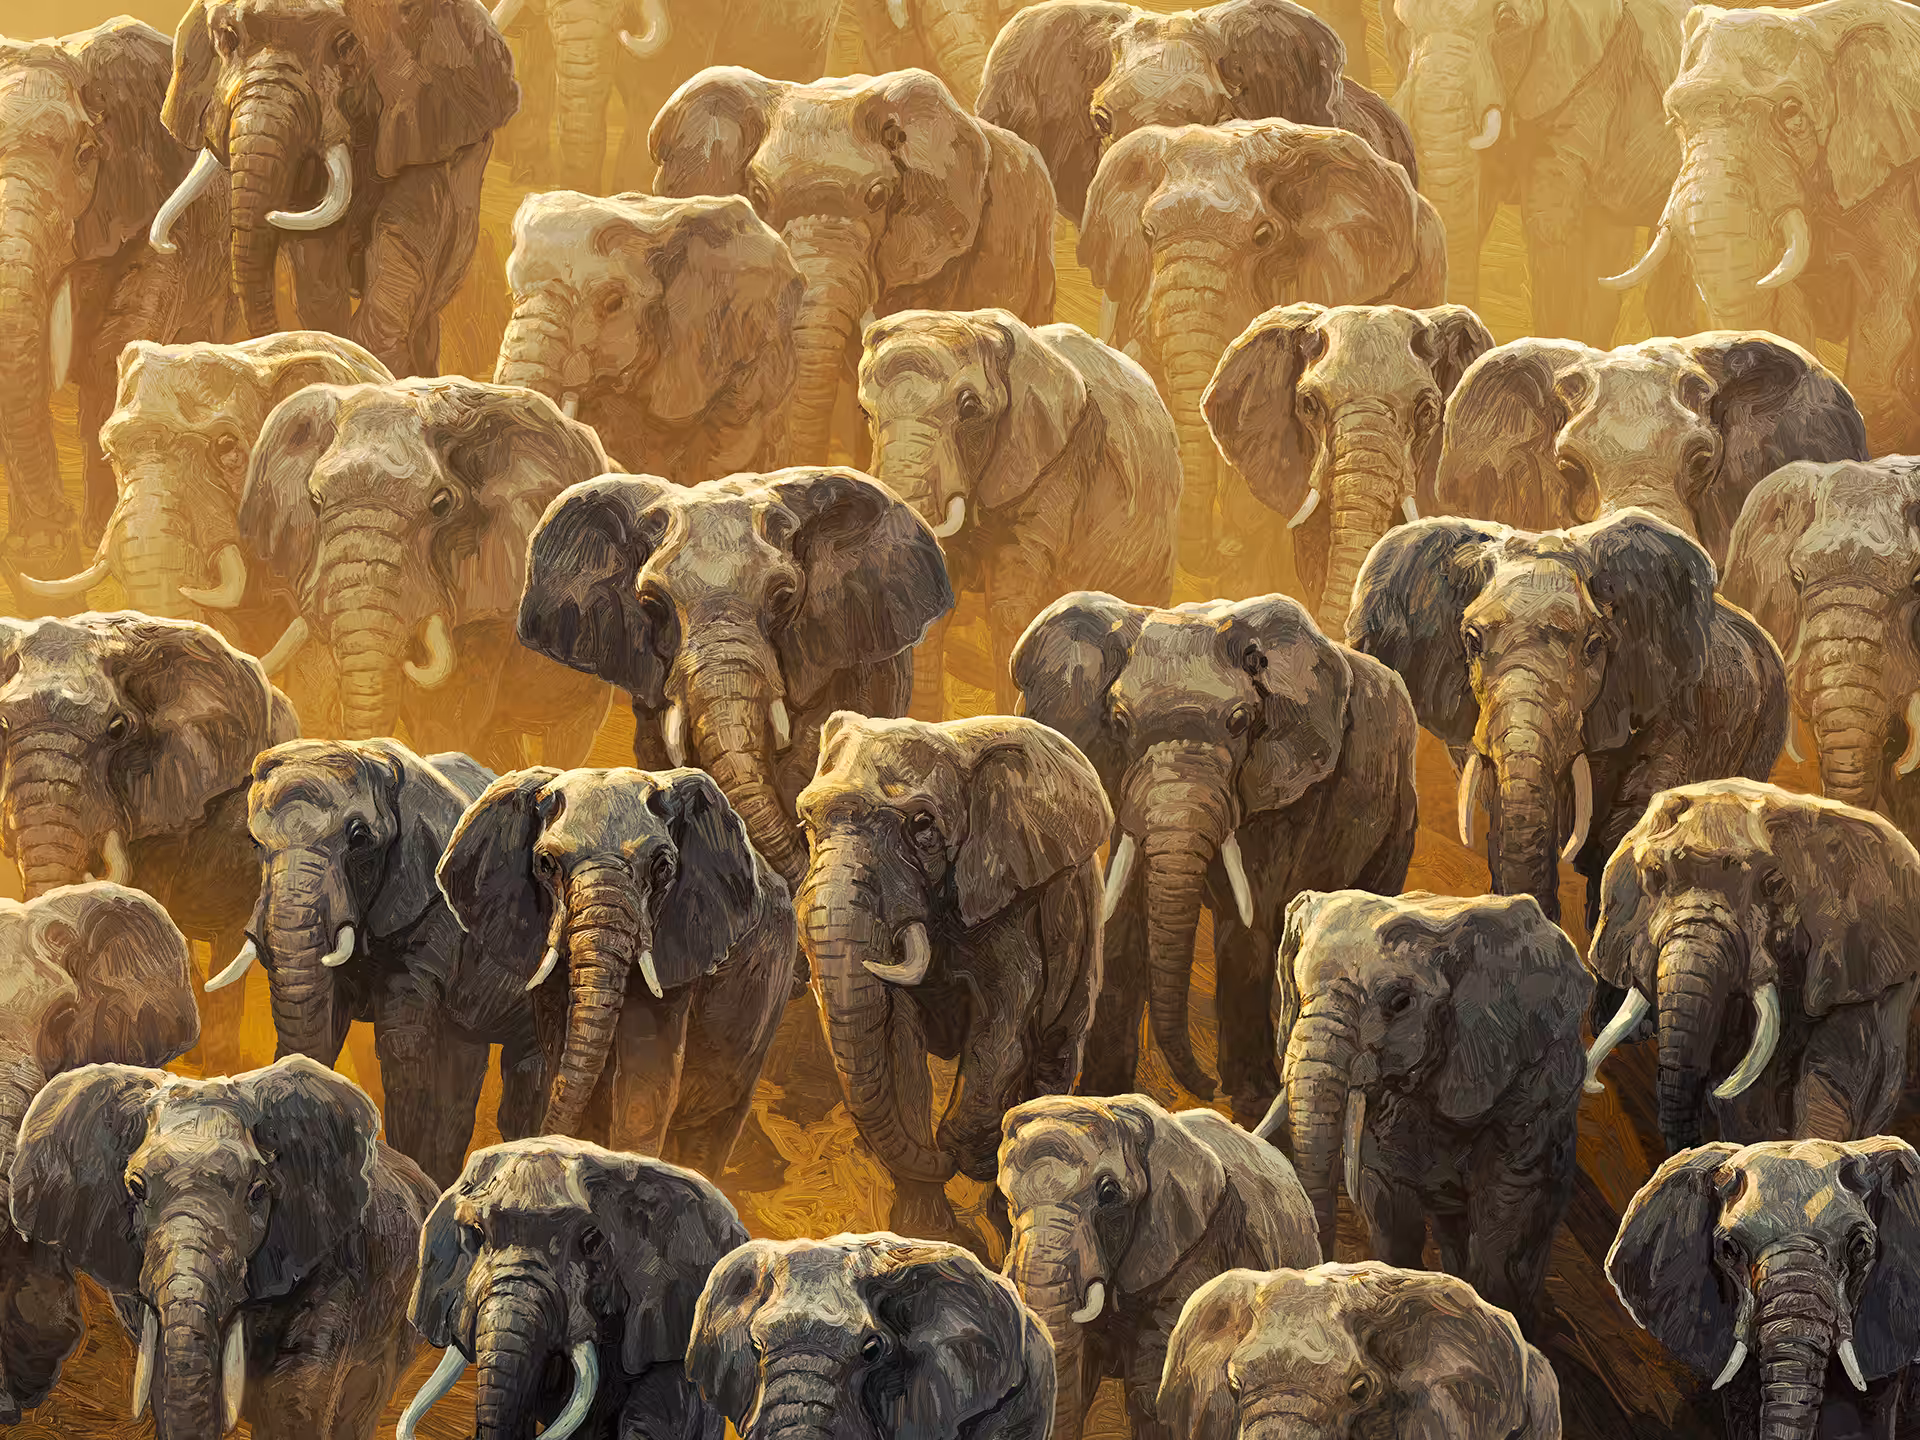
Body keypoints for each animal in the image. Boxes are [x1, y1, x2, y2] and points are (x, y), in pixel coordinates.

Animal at [151, 0, 518, 378]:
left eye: (344, 44)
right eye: (228, 38)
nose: (168, 245)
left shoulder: (427, 124)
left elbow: (407, 240)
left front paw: (381, 365)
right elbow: (317, 268)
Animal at [794, 712, 1109, 1252]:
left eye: (922, 825)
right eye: (806, 823)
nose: (943, 1161)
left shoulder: (1007, 897)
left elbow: (1001, 1027)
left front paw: (970, 1154)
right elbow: (899, 1044)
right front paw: (928, 1232)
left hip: (1083, 912)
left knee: (1056, 1048)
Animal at [1013, 593, 1419, 1124]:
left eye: (1241, 722)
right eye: (1119, 722)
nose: (1207, 1089)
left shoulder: (1284, 796)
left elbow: (1247, 927)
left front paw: (1250, 1104)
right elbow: (1125, 923)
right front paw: (1101, 1095)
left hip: (1400, 810)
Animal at [1583, 778, 1920, 1161]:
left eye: (1773, 885)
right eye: (1653, 877)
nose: (1594, 1086)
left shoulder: (1852, 961)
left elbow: (1833, 1074)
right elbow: (1744, 1098)